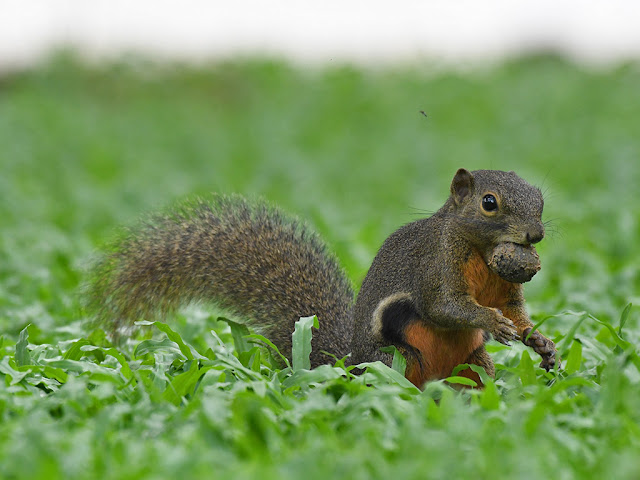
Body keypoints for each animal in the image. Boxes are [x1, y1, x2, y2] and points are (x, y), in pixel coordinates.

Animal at [87, 169, 556, 386]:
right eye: (489, 203)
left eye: (540, 199)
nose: (535, 235)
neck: (482, 253)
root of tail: (351, 365)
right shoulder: (435, 265)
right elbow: (444, 306)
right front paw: (492, 322)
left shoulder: (507, 288)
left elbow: (516, 310)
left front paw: (539, 342)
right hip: (394, 361)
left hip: (472, 367)